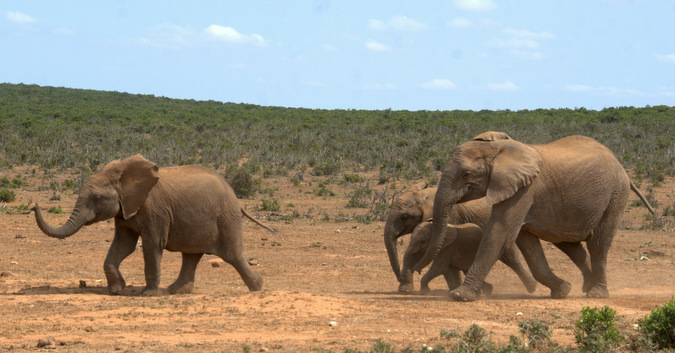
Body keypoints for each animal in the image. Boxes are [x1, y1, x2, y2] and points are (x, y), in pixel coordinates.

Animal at [31, 154, 274, 294]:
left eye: (97, 198)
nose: (33, 205)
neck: (120, 173)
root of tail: (237, 199)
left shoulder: (154, 208)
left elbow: (151, 244)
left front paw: (147, 294)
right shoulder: (125, 210)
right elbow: (124, 245)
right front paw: (117, 290)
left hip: (225, 217)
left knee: (232, 255)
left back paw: (258, 287)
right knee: (191, 255)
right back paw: (176, 291)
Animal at [402, 223, 540, 294]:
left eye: (422, 241)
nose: (416, 270)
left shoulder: (447, 248)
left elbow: (439, 268)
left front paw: (424, 291)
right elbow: (448, 269)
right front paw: (454, 289)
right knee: (467, 270)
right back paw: (487, 290)